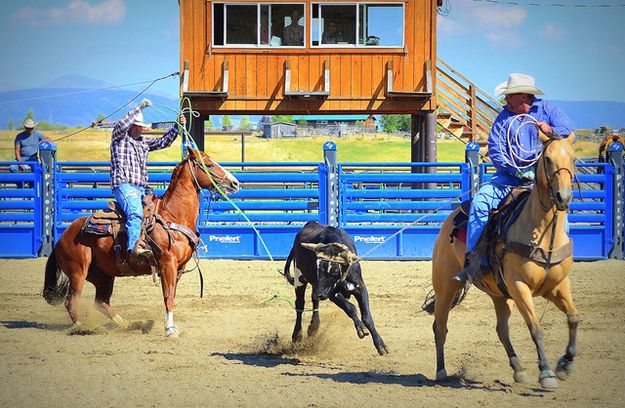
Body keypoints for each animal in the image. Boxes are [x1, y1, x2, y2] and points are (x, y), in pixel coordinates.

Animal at [42, 147, 239, 338]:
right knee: (71, 301)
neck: (173, 216)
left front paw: (171, 326)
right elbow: (168, 297)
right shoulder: (168, 264)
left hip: (103, 275)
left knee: (101, 302)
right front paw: (170, 330)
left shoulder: (179, 268)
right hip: (78, 271)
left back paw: (128, 324)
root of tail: (63, 237)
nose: (235, 182)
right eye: (209, 165)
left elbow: (172, 295)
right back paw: (82, 327)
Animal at [426, 132, 576, 390]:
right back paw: (441, 371)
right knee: (440, 327)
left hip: (499, 294)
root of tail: (449, 219)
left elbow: (574, 318)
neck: (544, 233)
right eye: (547, 159)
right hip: (445, 285)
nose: (563, 197)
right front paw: (547, 373)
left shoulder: (557, 286)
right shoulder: (519, 287)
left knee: (501, 329)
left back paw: (518, 369)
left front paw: (565, 364)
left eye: (574, 158)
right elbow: (536, 328)